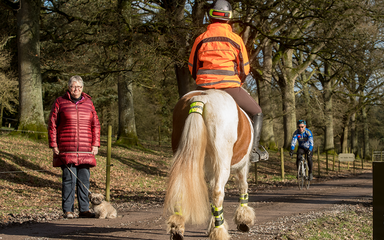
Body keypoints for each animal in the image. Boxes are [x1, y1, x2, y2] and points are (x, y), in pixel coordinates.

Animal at [164, 89, 256, 240]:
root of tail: (201, 98)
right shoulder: (242, 166)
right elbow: (243, 187)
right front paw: (243, 220)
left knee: (181, 186)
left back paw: (177, 228)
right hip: (222, 164)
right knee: (218, 193)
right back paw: (219, 231)